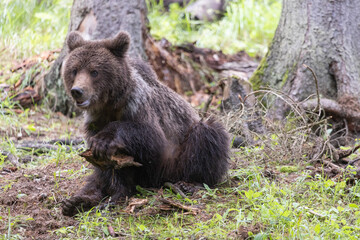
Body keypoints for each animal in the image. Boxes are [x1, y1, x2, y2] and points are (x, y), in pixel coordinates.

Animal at [60, 30, 229, 216]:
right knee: (96, 178)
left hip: (179, 157)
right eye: (74, 70)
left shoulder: (139, 108)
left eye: (94, 71)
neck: (110, 105)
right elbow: (110, 166)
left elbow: (150, 138)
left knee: (207, 137)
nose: (77, 91)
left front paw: (104, 141)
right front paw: (112, 193)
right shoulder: (95, 122)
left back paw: (191, 183)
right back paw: (77, 201)